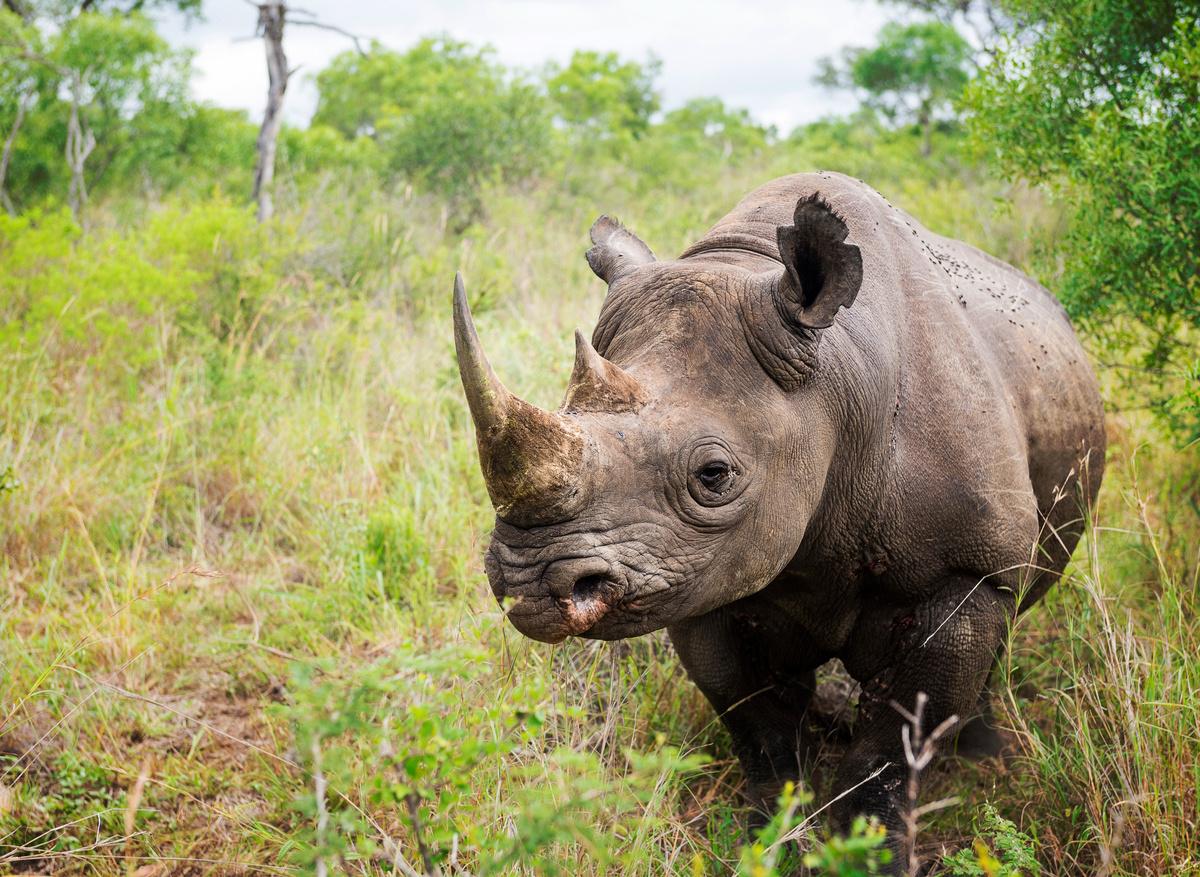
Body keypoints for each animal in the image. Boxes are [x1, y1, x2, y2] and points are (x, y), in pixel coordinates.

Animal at [453, 172, 1105, 870]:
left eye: (715, 476)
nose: (530, 583)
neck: (836, 381)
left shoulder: (967, 570)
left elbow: (891, 748)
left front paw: (871, 856)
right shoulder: (700, 579)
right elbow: (758, 730)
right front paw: (765, 842)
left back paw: (982, 754)